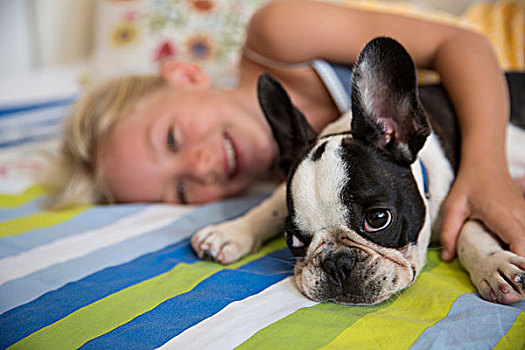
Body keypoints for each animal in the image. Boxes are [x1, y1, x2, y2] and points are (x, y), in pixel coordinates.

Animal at [191, 34, 524, 304]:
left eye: (378, 219)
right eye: (293, 239)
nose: (336, 263)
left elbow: (470, 226)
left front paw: (494, 264)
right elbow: (271, 205)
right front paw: (230, 232)